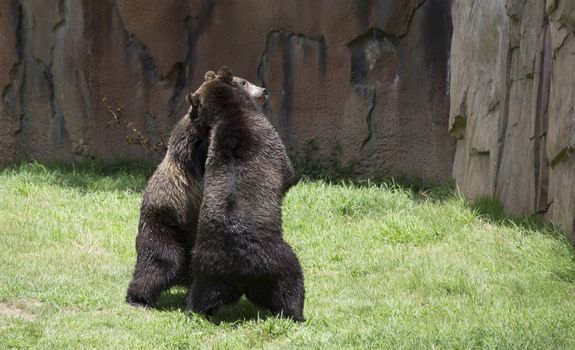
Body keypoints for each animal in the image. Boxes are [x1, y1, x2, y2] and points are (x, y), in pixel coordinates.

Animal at [125, 69, 268, 308]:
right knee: (158, 263)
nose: (263, 90)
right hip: (167, 224)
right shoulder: (191, 149)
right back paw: (138, 297)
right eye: (243, 82)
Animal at [183, 67, 306, 322]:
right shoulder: (267, 137)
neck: (229, 112)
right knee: (291, 283)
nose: (265, 90)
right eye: (245, 81)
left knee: (199, 296)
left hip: (206, 270)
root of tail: (239, 274)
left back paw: (191, 310)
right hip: (276, 262)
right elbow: (288, 173)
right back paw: (297, 314)